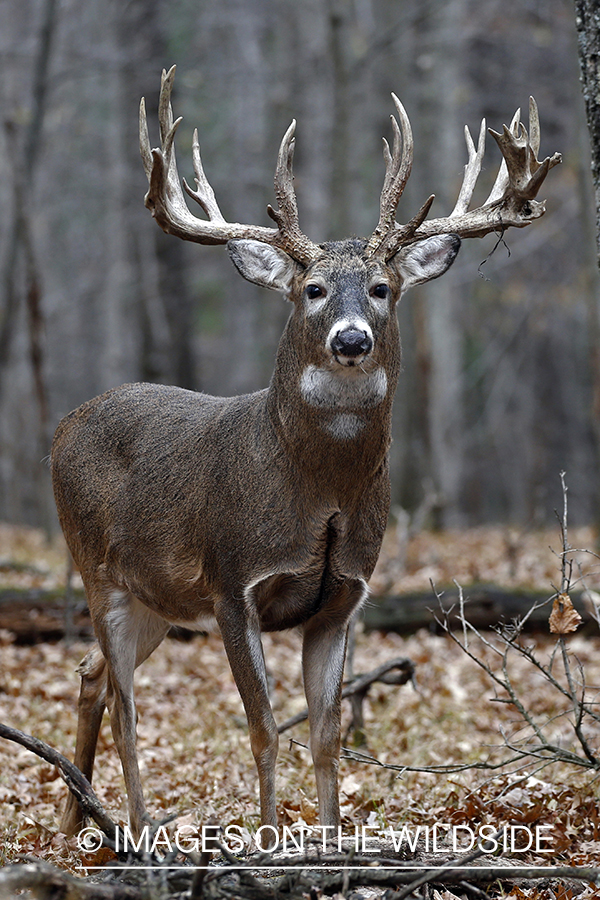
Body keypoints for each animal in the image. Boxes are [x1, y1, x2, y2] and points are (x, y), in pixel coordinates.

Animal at [52, 65, 564, 844]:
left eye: (383, 288)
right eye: (313, 288)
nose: (351, 338)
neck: (315, 495)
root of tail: (61, 428)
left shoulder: (345, 597)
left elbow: (326, 735)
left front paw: (329, 840)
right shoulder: (232, 582)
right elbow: (264, 730)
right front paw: (268, 840)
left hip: (154, 602)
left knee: (91, 677)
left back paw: (73, 825)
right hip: (99, 572)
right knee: (127, 709)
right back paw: (135, 832)